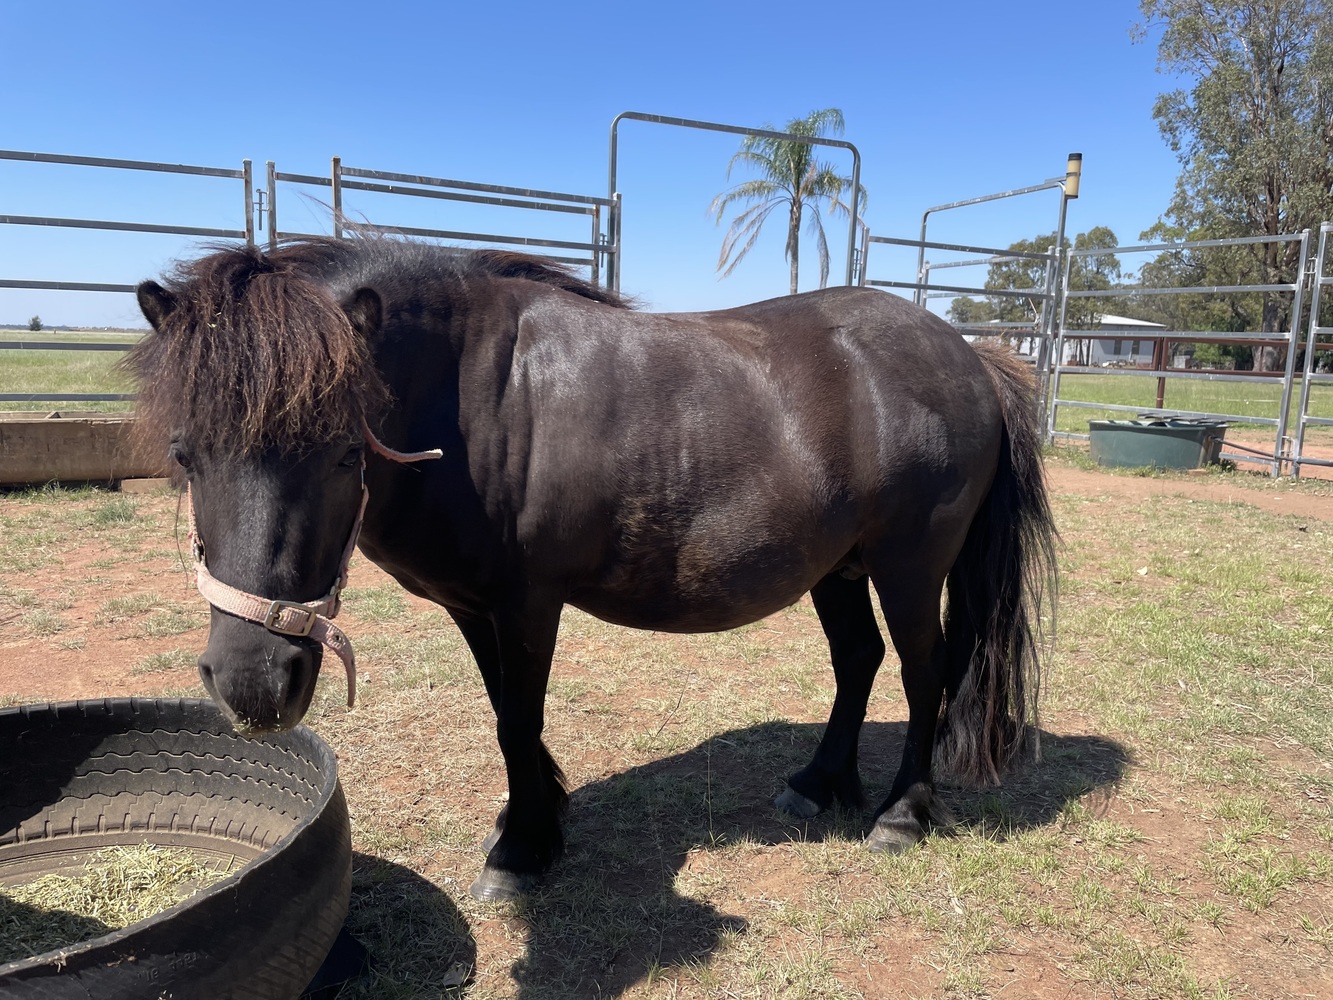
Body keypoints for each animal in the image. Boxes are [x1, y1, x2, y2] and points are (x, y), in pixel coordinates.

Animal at [125, 237, 1057, 902]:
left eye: (343, 455)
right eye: (184, 454)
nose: (253, 684)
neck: (470, 398)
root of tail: (968, 354)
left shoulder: (526, 604)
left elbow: (518, 720)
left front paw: (520, 851)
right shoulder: (474, 607)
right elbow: (505, 714)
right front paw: (532, 817)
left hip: (909, 566)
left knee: (923, 672)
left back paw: (900, 813)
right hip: (840, 567)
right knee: (857, 660)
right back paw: (818, 784)